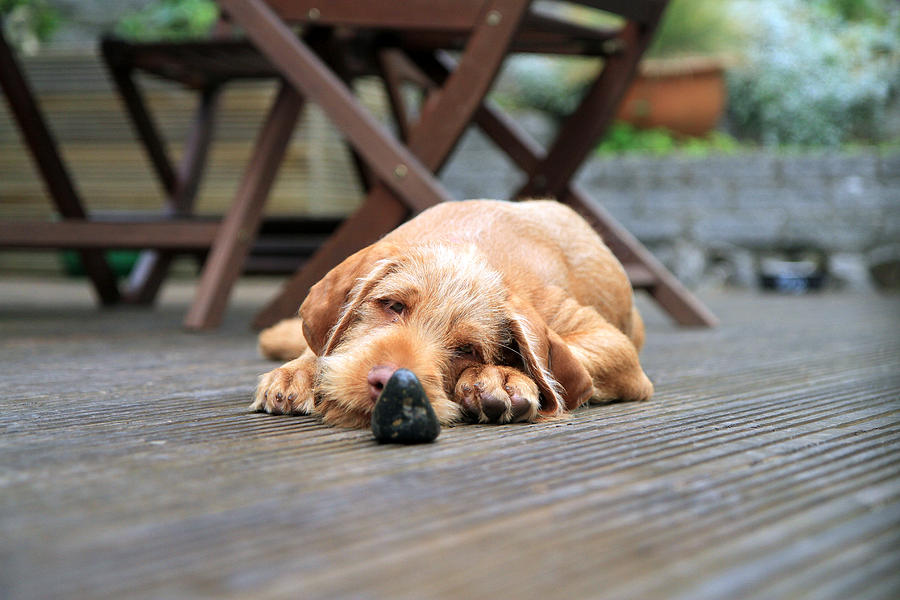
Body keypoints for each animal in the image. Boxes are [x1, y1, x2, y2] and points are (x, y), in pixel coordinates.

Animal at [250, 200, 652, 426]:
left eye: (467, 350)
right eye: (393, 306)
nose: (390, 384)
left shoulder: (611, 343)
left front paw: (502, 378)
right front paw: (297, 372)